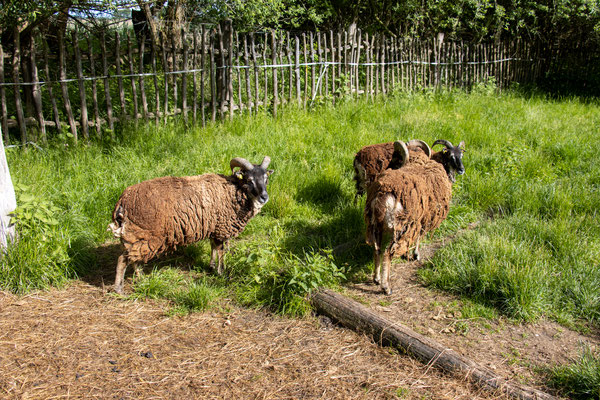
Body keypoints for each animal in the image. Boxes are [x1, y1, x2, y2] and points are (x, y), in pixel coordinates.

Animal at [109, 156, 274, 294]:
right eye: (250, 180)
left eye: (266, 179)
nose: (264, 197)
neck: (235, 191)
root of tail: (122, 201)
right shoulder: (222, 228)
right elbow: (221, 252)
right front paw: (221, 272)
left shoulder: (214, 227)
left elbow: (213, 248)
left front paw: (211, 266)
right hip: (146, 234)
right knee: (123, 259)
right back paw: (119, 289)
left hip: (135, 235)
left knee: (132, 258)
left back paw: (141, 277)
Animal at [360, 141, 464, 294]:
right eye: (451, 156)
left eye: (461, 155)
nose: (462, 170)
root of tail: (383, 195)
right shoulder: (423, 218)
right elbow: (419, 237)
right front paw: (415, 254)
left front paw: (409, 254)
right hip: (398, 226)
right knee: (387, 253)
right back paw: (386, 286)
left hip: (374, 224)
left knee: (376, 249)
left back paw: (377, 278)